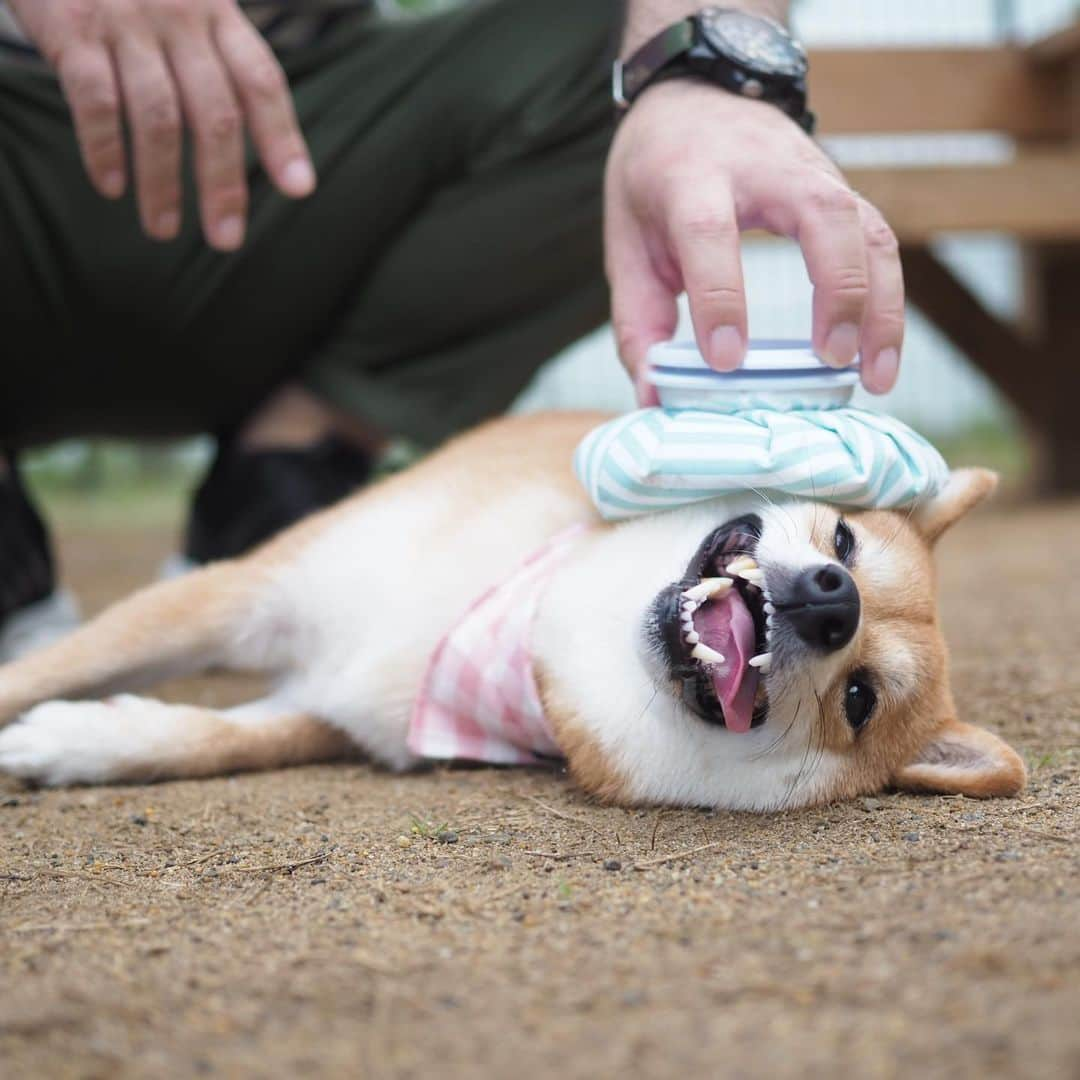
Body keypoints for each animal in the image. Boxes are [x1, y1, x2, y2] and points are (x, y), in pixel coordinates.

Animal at [0, 412, 1019, 812]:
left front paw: (71, 743)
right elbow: (42, 673)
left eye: (859, 700)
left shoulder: (334, 707)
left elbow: (208, 739)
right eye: (846, 544)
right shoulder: (243, 594)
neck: (532, 636)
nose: (834, 603)